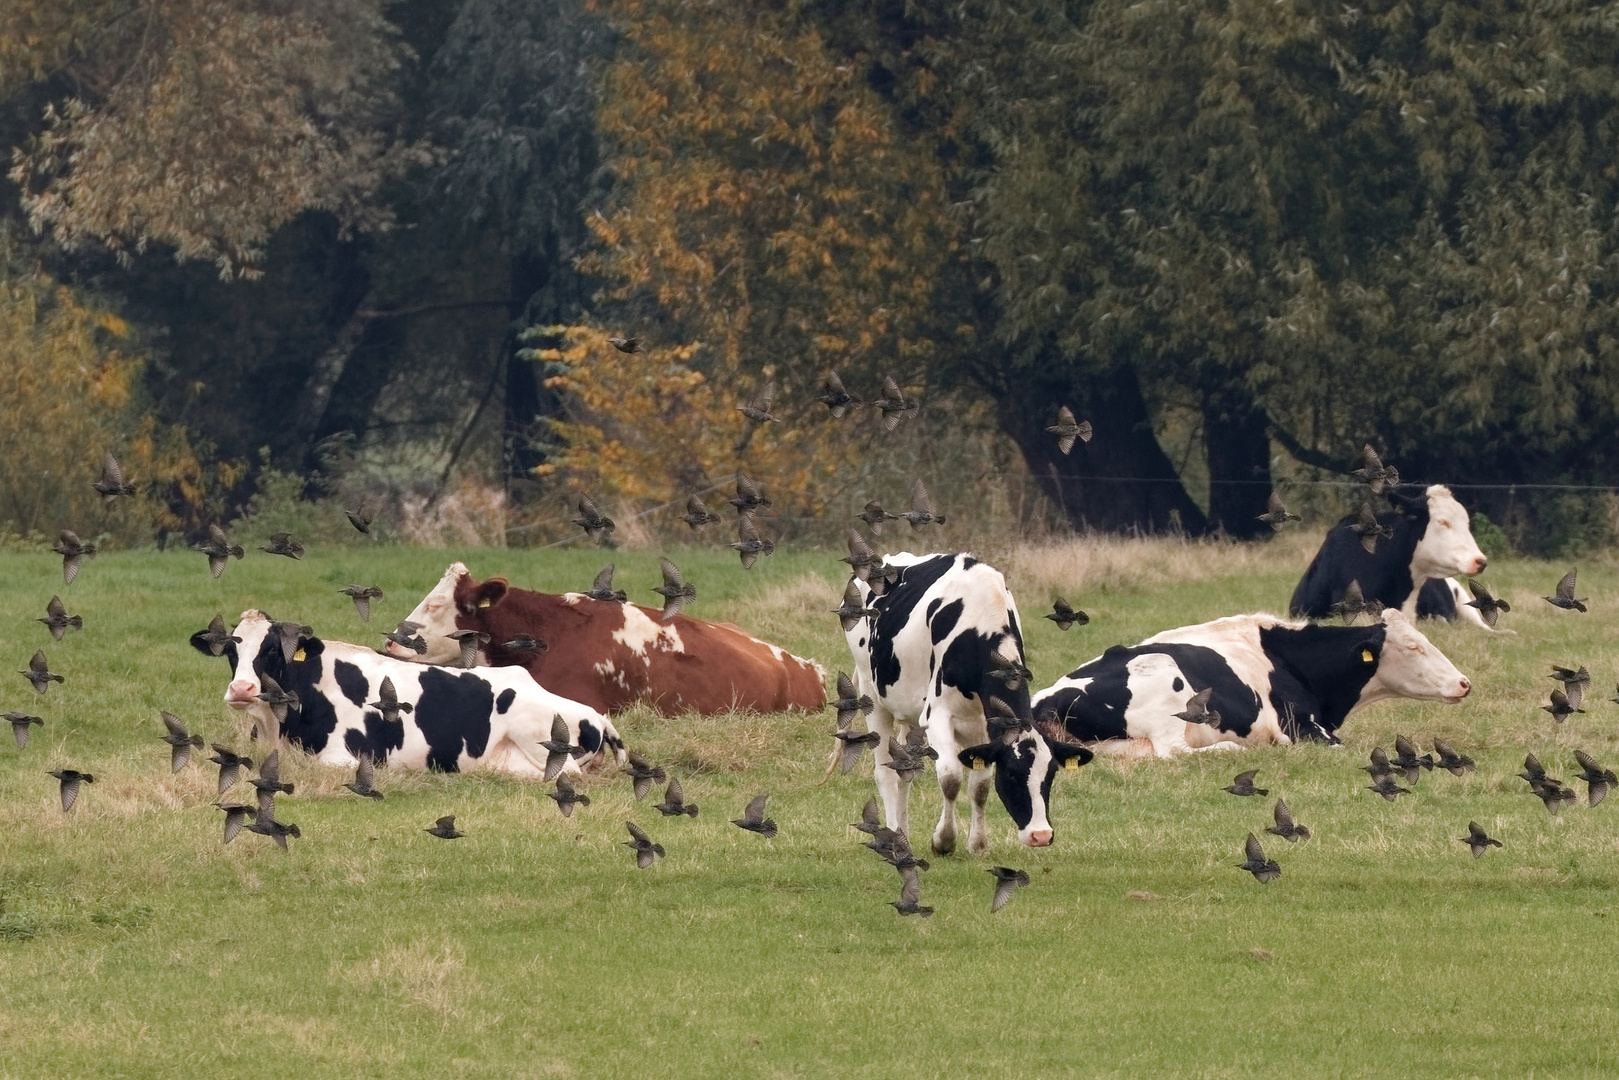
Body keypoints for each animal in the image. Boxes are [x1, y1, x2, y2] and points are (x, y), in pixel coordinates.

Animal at [841, 557, 1094, 854]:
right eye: (1011, 775)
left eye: (1051, 774)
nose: (1041, 835)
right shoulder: (937, 717)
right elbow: (951, 778)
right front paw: (944, 840)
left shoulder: (987, 726)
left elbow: (980, 787)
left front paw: (978, 843)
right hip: (872, 694)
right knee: (885, 772)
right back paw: (892, 835)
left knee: (904, 769)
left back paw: (902, 833)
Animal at [1029, 608, 1476, 761]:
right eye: (1414, 646)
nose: (1464, 682)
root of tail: (1042, 700)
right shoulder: (1305, 730)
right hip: (1165, 680)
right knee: (1174, 752)